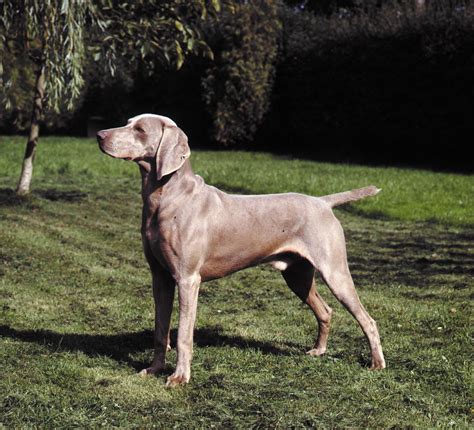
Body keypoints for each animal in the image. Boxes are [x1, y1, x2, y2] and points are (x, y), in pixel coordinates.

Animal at [96, 113, 386, 386]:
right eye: (128, 122)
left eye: (140, 129)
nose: (99, 135)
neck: (168, 197)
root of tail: (323, 202)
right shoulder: (160, 277)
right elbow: (160, 329)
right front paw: (154, 369)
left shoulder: (188, 280)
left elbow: (183, 336)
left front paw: (179, 377)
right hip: (297, 276)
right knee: (325, 311)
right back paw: (319, 350)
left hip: (334, 272)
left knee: (367, 319)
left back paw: (377, 363)